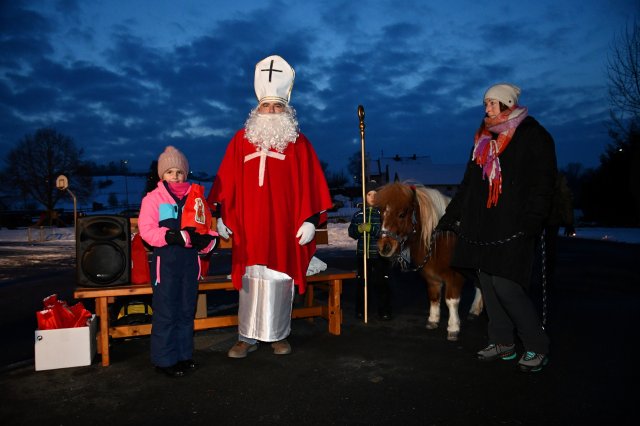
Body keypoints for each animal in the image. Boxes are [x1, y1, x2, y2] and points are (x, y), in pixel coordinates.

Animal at [372, 181, 482, 342]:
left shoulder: (455, 278)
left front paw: (453, 327)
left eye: (402, 214)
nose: (384, 247)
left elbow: (451, 301)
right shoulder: (431, 278)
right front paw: (433, 320)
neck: (439, 241)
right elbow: (434, 298)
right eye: (381, 213)